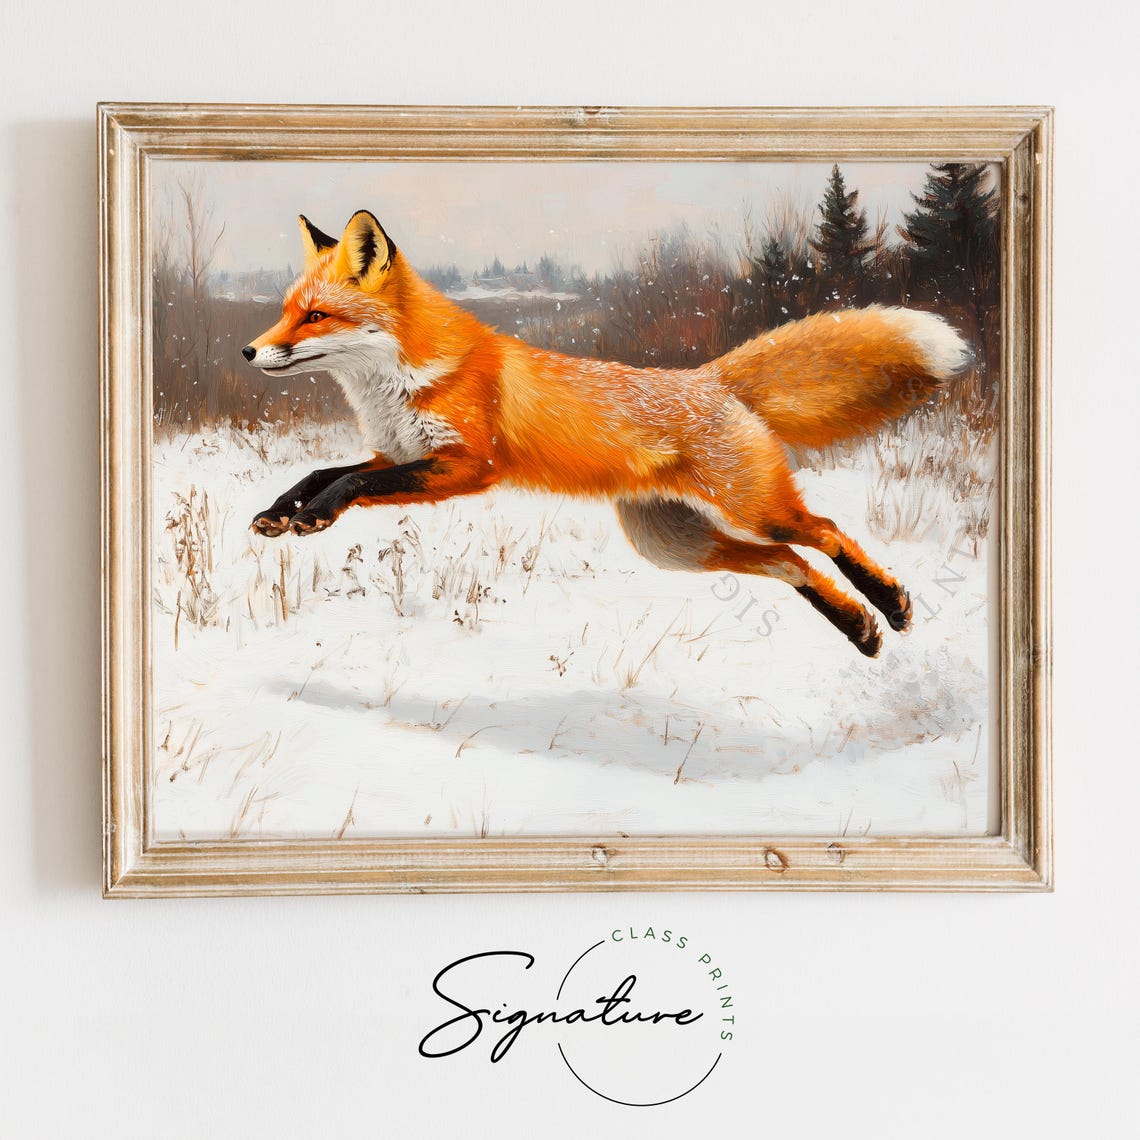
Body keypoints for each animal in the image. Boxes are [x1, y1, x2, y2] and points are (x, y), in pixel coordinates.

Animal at [242, 210, 972, 657]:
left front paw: (314, 515)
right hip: (674, 544)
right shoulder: (400, 451)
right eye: (286, 311)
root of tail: (709, 376)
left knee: (823, 532)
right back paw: (861, 630)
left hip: (752, 508)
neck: (396, 386)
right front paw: (281, 512)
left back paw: (891, 604)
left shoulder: (467, 465)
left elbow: (353, 483)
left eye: (315, 315)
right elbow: (324, 472)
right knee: (788, 562)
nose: (249, 351)